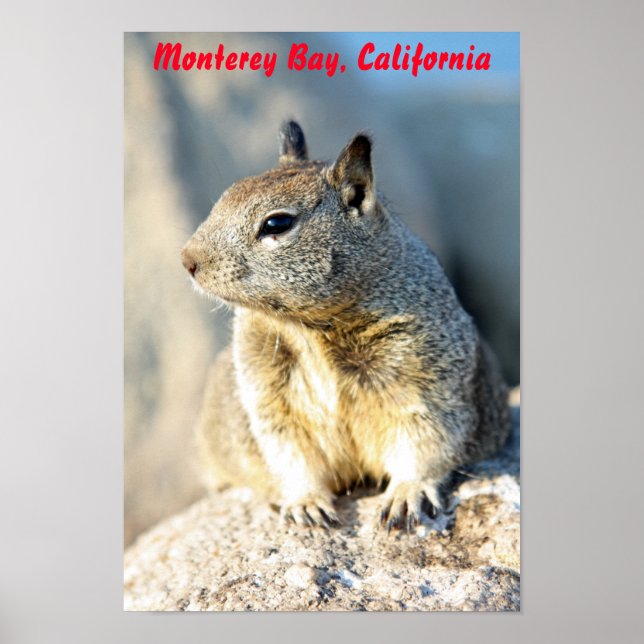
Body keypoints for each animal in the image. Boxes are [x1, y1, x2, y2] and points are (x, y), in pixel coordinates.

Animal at [181, 121, 510, 531]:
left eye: (277, 223)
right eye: (223, 198)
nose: (187, 259)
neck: (308, 328)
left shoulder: (427, 376)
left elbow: (425, 441)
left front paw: (407, 493)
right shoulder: (267, 394)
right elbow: (290, 453)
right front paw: (306, 502)